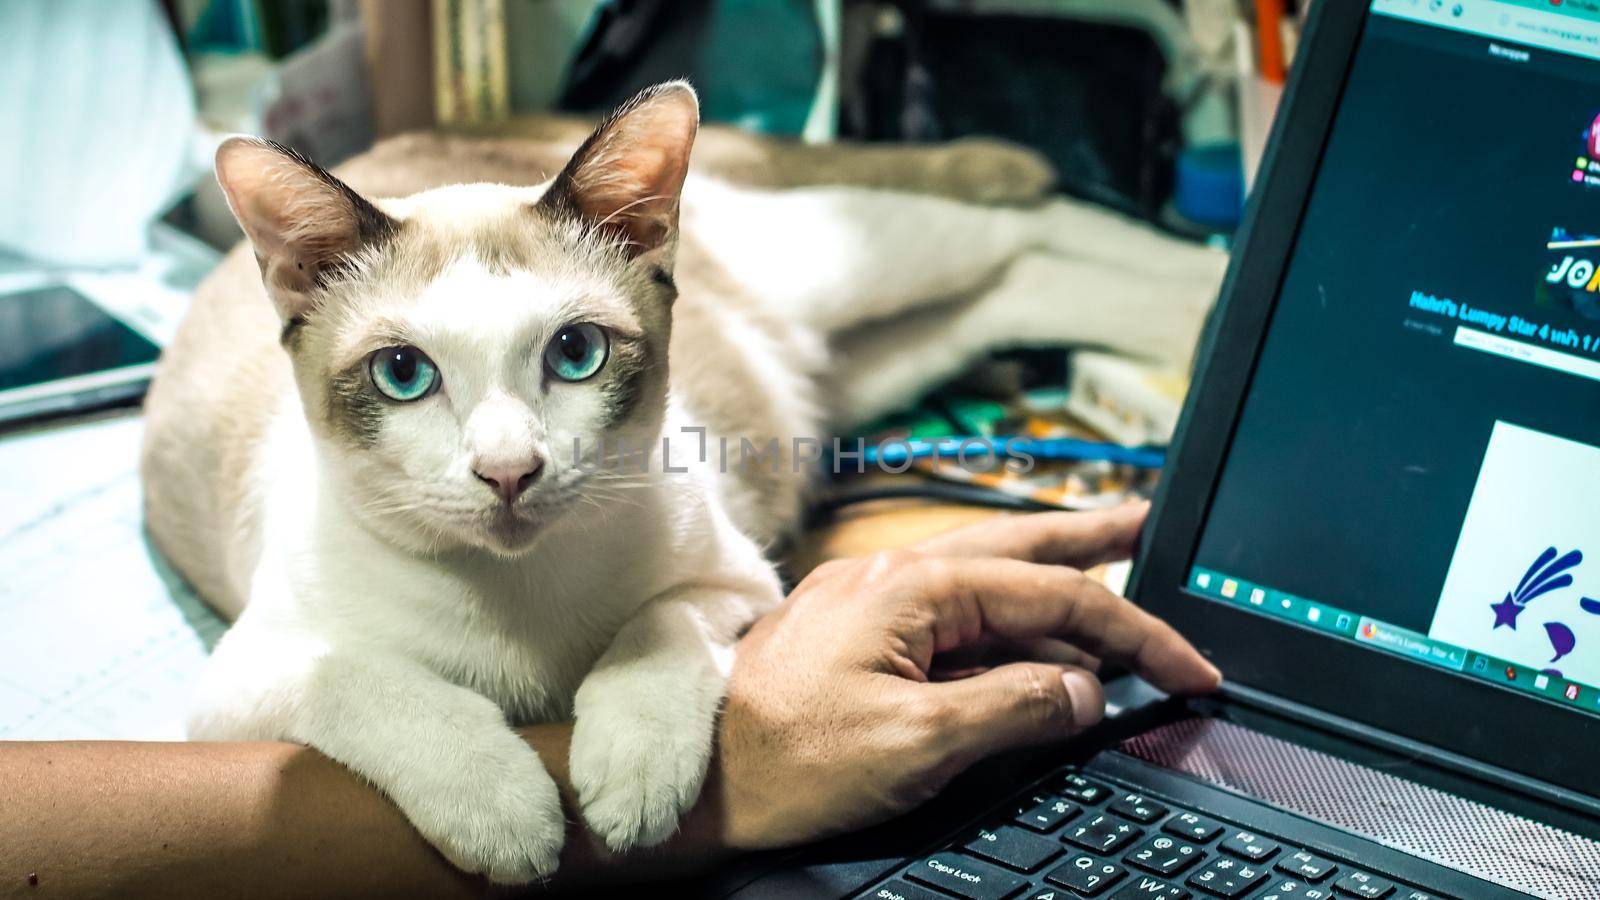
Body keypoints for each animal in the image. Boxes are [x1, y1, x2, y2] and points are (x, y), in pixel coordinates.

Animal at [147, 80, 1222, 877]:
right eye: (403, 374)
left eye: (575, 353)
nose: (508, 472)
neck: (519, 603)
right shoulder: (244, 684)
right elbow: (372, 684)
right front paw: (508, 812)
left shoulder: (740, 582)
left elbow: (653, 633)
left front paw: (626, 783)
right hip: (883, 353)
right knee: (1021, 281)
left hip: (856, 267)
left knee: (1033, 225)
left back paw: (1215, 290)